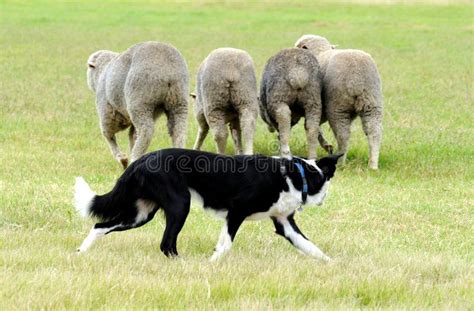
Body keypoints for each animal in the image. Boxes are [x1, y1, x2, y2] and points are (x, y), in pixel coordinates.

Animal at [74, 150, 340, 262]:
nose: (325, 199)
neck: (296, 175)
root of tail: (141, 160)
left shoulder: (284, 223)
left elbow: (311, 246)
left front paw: (332, 265)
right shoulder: (236, 212)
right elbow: (226, 245)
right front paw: (211, 263)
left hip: (140, 214)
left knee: (99, 225)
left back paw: (80, 252)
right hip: (180, 205)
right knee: (166, 243)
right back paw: (183, 264)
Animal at [294, 34, 384, 171]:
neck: (319, 51)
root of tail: (356, 78)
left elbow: (312, 126)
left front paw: (326, 146)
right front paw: (326, 145)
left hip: (338, 107)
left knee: (343, 135)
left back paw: (341, 161)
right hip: (372, 104)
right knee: (374, 131)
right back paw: (373, 165)